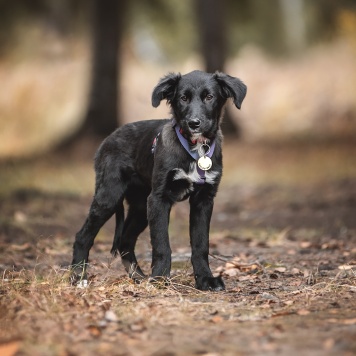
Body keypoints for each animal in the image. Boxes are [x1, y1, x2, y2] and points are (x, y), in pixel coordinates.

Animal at [71, 71, 246, 290]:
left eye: (209, 97)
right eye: (183, 98)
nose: (194, 123)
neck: (196, 149)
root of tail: (106, 141)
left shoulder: (203, 200)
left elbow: (201, 244)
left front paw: (205, 279)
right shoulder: (159, 199)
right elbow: (162, 244)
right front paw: (160, 278)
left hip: (140, 207)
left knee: (125, 241)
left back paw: (138, 277)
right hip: (109, 196)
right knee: (83, 236)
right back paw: (79, 277)